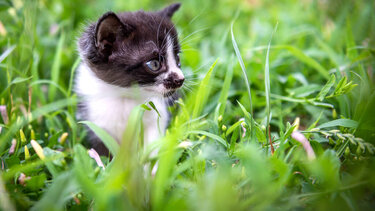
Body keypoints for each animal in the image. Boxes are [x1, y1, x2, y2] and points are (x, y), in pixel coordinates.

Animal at [75, 3, 184, 155]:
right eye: (154, 64)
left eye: (177, 58)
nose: (180, 79)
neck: (125, 97)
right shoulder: (97, 124)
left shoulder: (158, 115)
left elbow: (151, 147)